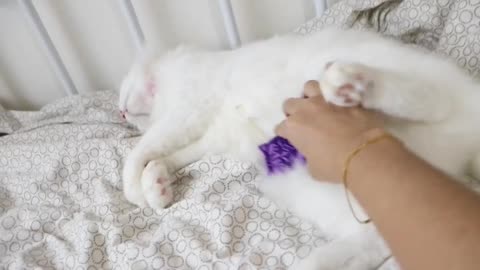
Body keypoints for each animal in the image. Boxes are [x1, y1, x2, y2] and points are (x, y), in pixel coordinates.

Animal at [118, 28, 480, 268]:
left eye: (121, 93)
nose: (120, 112)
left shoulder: (183, 112)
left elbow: (139, 152)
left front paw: (135, 189)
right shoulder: (211, 135)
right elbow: (172, 156)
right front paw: (157, 186)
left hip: (420, 99)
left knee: (430, 100)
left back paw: (351, 82)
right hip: (323, 191)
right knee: (377, 242)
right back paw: (317, 263)